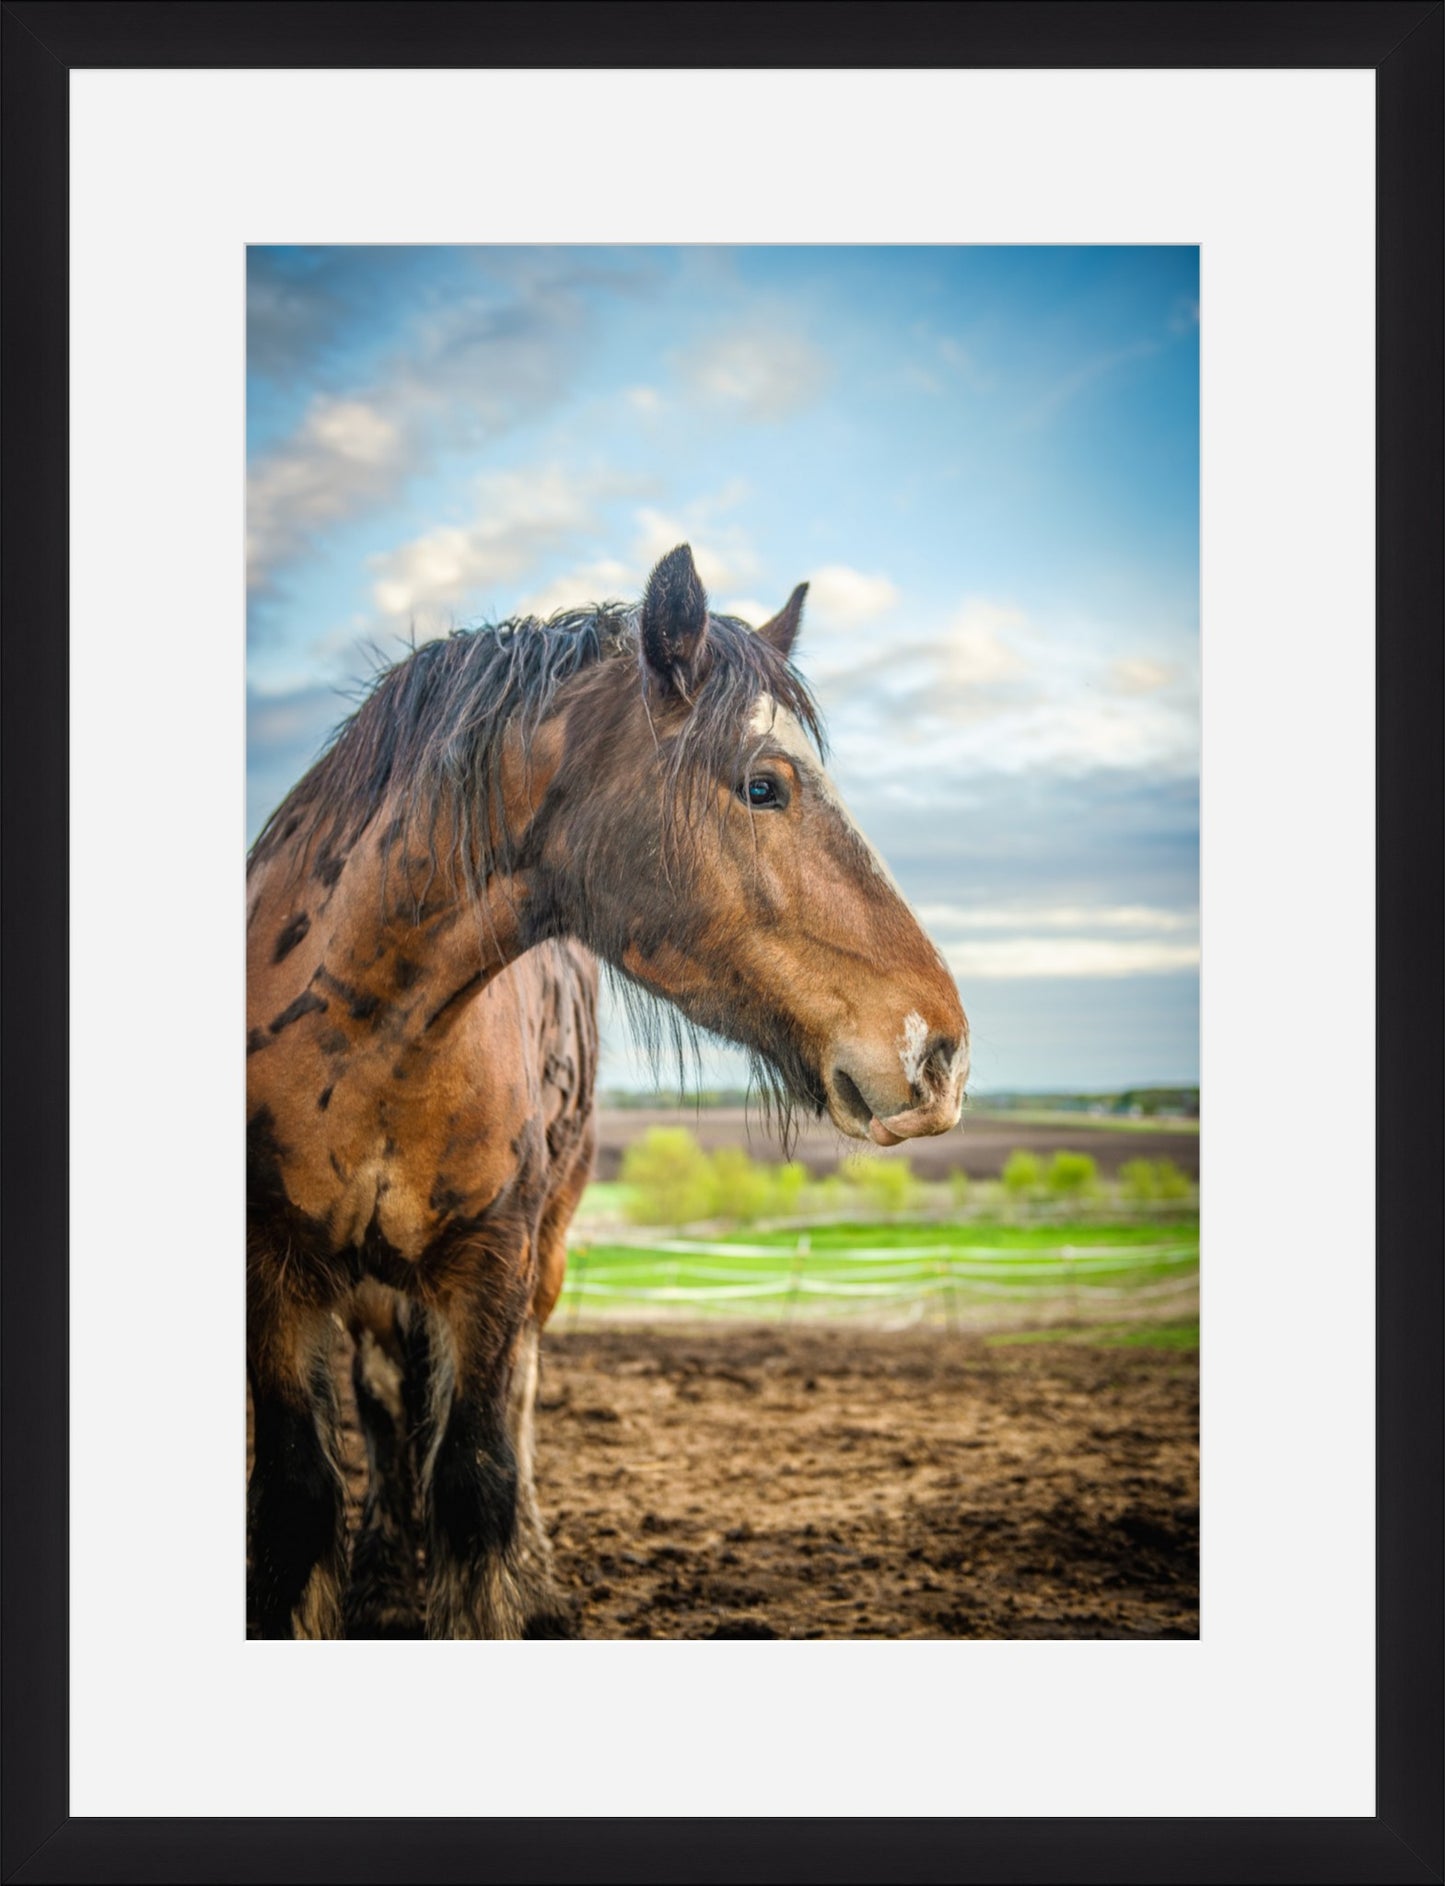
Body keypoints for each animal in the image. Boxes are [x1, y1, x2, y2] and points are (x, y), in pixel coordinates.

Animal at [245, 546, 973, 1637]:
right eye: (765, 785)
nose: (942, 1051)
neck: (367, 1036)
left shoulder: (490, 1262)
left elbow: (477, 1484)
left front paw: (508, 1587)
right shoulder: (276, 1274)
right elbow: (301, 1503)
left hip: (533, 1262)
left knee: (507, 1412)